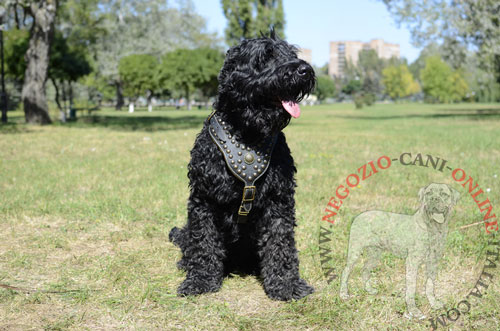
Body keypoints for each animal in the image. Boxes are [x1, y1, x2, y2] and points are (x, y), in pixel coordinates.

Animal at [170, 30, 314, 300]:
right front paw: (201, 280)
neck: (248, 134)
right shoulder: (204, 199)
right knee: (190, 241)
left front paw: (286, 284)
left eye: (291, 53)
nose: (304, 69)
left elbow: (280, 243)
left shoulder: (278, 200)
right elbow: (203, 241)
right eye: (266, 56)